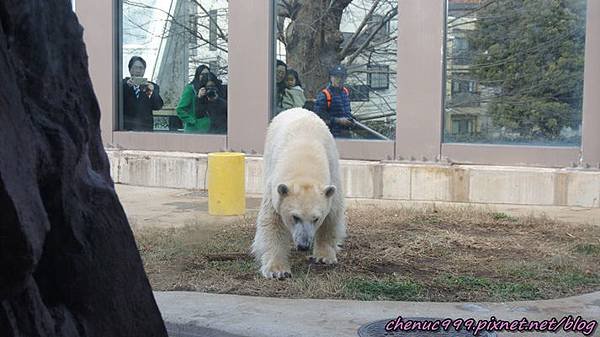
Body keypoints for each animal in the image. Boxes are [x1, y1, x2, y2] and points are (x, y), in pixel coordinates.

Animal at [251, 107, 344, 278]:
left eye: (316, 218)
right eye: (295, 217)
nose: (303, 245)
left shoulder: (333, 174)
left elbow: (332, 215)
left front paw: (324, 257)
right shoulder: (274, 188)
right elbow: (272, 222)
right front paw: (278, 271)